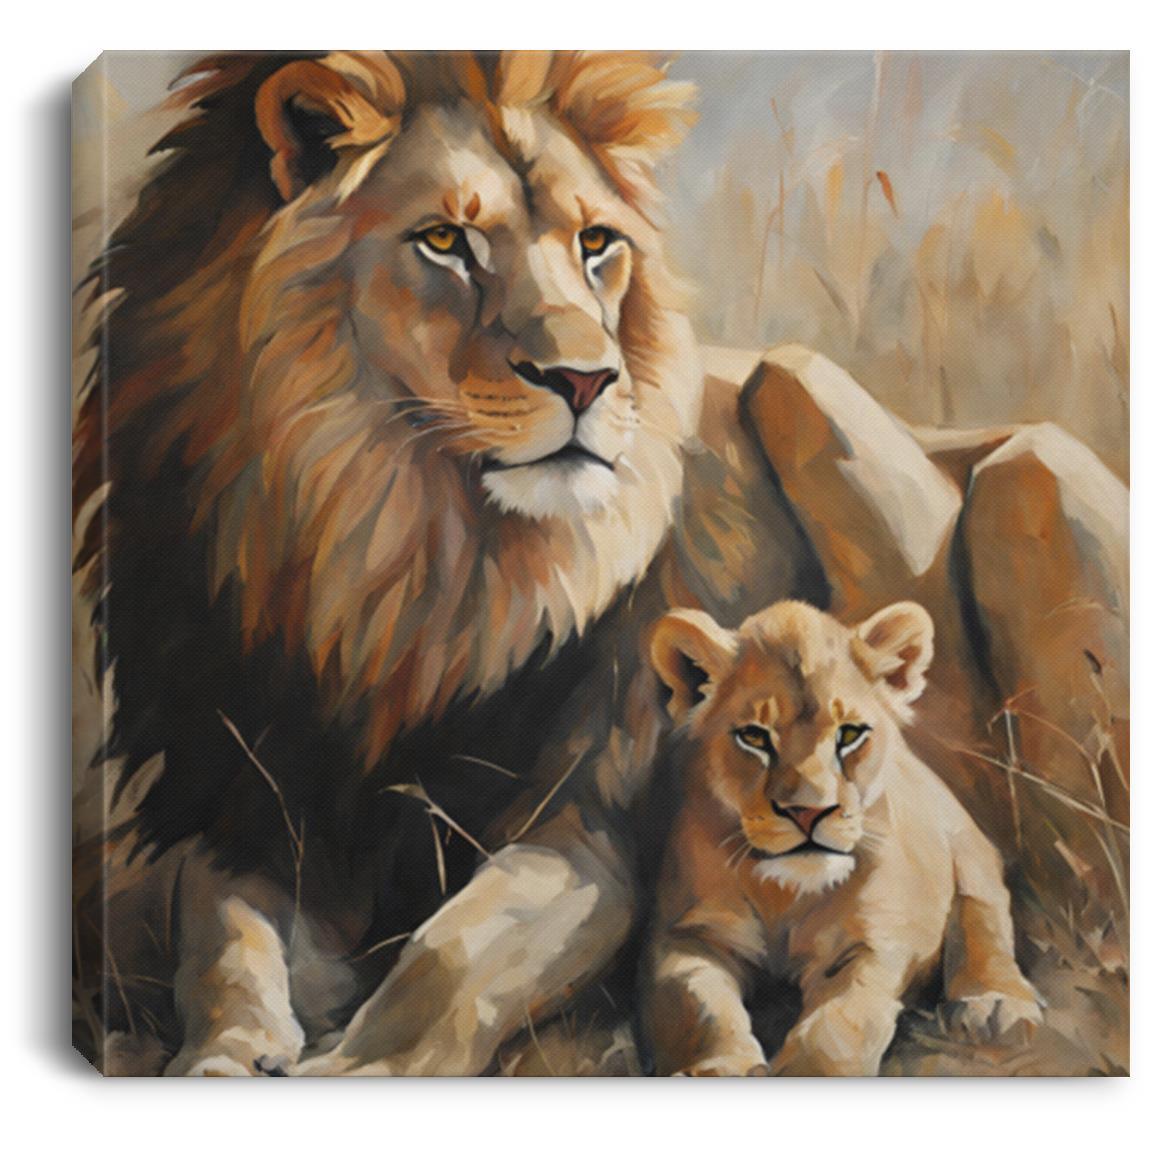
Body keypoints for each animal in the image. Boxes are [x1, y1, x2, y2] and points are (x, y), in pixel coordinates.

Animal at [644, 599, 1043, 1077]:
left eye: (850, 734)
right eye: (754, 736)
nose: (808, 811)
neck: (785, 894)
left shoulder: (872, 945)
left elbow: (838, 1024)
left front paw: (806, 1073)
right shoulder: (690, 935)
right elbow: (699, 1005)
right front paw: (721, 1068)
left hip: (967, 847)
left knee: (985, 915)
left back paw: (996, 1005)